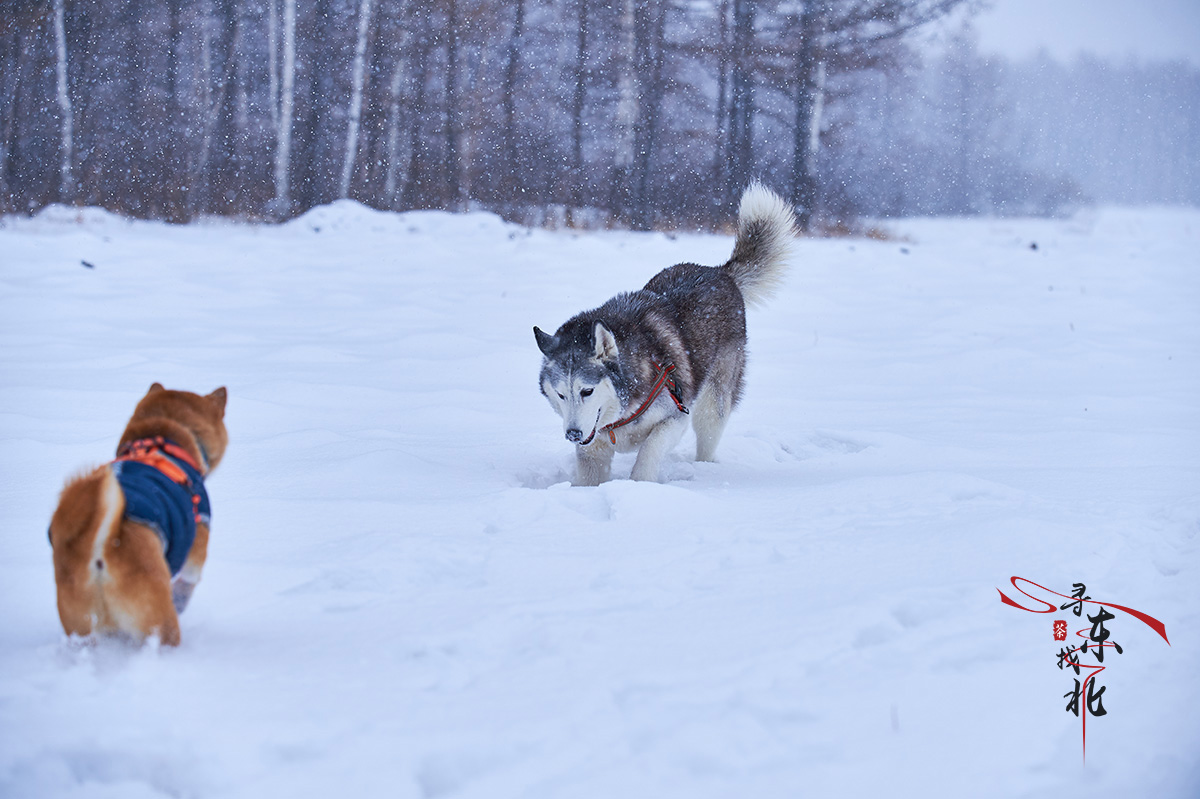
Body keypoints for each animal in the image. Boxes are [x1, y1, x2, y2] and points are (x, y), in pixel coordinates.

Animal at [535, 183, 796, 482]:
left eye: (587, 391)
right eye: (560, 394)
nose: (573, 434)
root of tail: (719, 272)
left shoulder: (675, 416)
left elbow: (650, 449)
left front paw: (639, 485)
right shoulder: (594, 444)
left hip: (712, 403)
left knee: (708, 431)